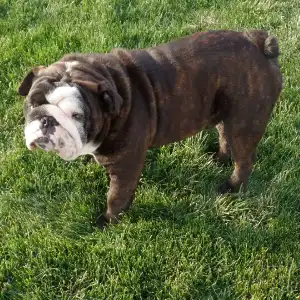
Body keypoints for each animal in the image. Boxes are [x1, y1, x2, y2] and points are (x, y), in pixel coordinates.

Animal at [17, 29, 282, 225]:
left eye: (77, 115)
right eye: (33, 103)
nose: (47, 120)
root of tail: (258, 43)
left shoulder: (125, 166)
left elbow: (116, 196)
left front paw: (108, 221)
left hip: (245, 122)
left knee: (244, 159)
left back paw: (232, 187)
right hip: (227, 113)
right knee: (224, 134)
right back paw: (219, 159)